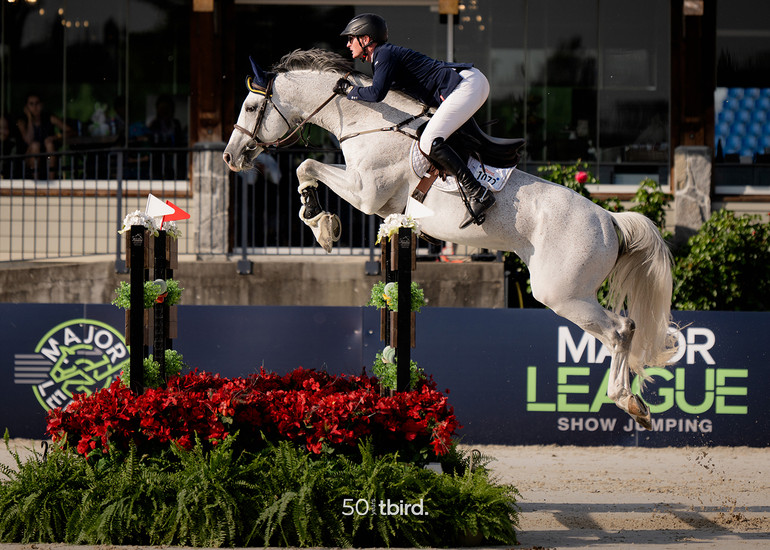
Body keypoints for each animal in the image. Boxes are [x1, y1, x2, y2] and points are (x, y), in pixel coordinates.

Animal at [220, 48, 672, 432]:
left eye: (251, 107)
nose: (230, 156)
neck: (367, 120)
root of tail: (609, 219)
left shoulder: (365, 193)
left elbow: (308, 166)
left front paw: (322, 224)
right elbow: (307, 171)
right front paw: (320, 222)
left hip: (561, 293)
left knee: (620, 330)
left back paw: (629, 403)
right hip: (570, 291)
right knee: (625, 329)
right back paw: (635, 403)